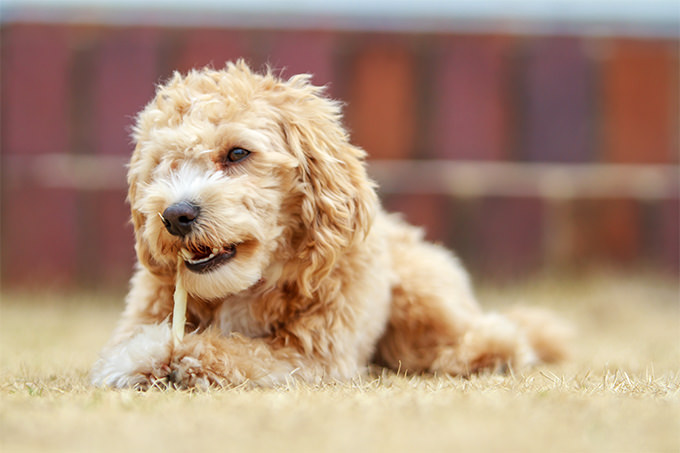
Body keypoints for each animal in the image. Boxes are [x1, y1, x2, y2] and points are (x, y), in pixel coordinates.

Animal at [90, 61, 568, 390]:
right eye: (161, 165)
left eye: (238, 153)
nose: (175, 215)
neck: (246, 286)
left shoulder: (313, 354)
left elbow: (230, 348)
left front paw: (160, 353)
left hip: (418, 295)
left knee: (495, 334)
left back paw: (483, 354)